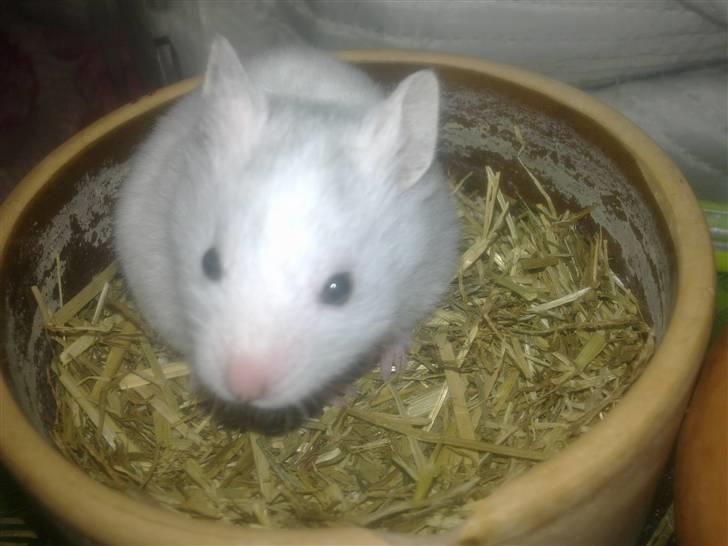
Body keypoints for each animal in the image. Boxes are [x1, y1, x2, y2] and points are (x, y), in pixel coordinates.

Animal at [114, 35, 460, 434]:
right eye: (209, 263)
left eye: (340, 289)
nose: (243, 389)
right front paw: (342, 395)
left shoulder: (426, 274)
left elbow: (400, 329)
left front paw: (392, 370)